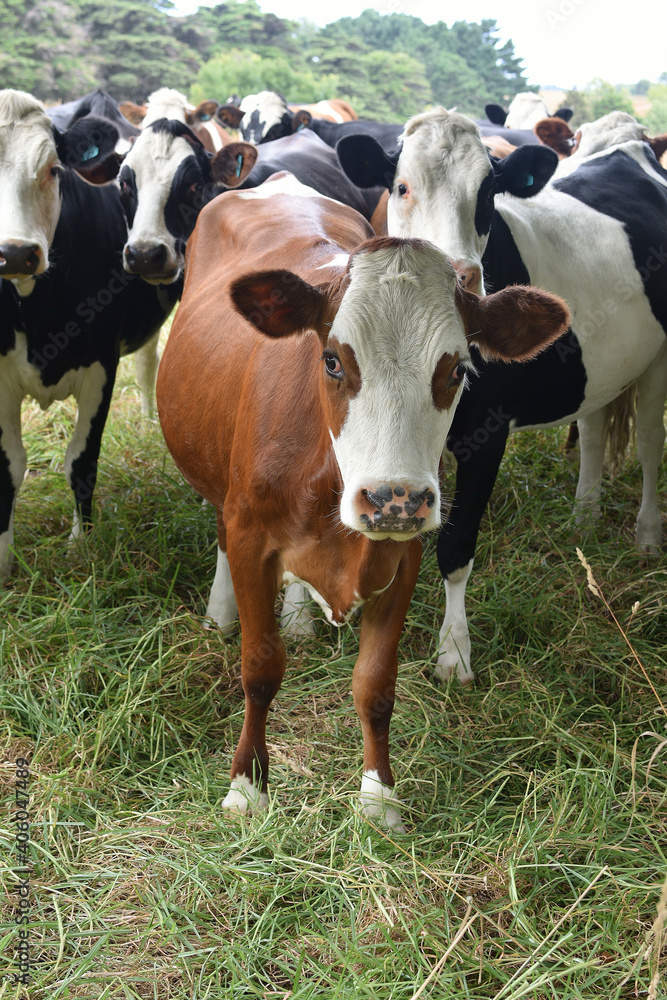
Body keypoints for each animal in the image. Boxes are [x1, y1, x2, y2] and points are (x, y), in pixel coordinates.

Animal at [0, 92, 180, 584]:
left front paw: (82, 545)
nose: (14, 253)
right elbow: (7, 467)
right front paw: (2, 560)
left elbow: (81, 461)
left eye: (52, 170)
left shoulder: (101, 364)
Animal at [157, 174, 568, 828]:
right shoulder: (250, 536)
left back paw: (299, 614)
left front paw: (378, 797)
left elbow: (375, 683)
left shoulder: (404, 555)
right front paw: (247, 787)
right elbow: (259, 668)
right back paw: (223, 612)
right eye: (332, 359)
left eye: (457, 370)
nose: (392, 498)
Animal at [340, 111, 667, 688]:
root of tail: (628, 145)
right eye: (401, 187)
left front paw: (454, 655)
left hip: (658, 359)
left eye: (489, 192)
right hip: (601, 366)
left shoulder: (484, 433)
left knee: (650, 443)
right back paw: (584, 516)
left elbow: (455, 547)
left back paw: (647, 535)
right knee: (594, 430)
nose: (460, 274)